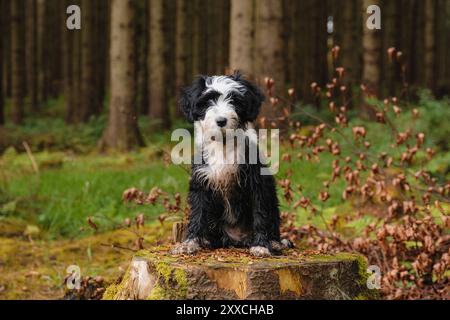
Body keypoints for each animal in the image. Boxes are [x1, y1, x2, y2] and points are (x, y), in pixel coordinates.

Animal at [171, 72, 290, 258]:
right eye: (208, 101)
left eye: (234, 100)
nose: (221, 120)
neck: (224, 145)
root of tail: (236, 239)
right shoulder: (201, 182)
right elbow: (198, 214)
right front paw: (190, 243)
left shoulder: (257, 183)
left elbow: (260, 213)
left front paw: (261, 245)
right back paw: (207, 240)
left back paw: (274, 242)